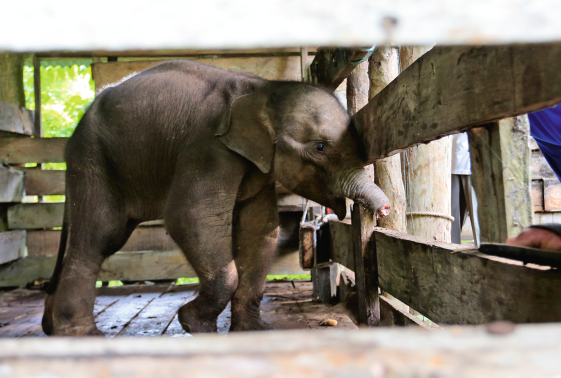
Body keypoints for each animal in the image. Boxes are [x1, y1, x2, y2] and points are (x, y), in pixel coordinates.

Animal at [42, 59, 390, 336]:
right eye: (319, 147)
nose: (385, 209)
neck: (261, 90)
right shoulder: (208, 147)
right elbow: (191, 216)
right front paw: (193, 324)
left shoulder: (256, 165)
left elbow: (261, 228)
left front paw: (252, 331)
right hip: (93, 158)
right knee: (101, 236)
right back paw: (79, 334)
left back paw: (54, 326)